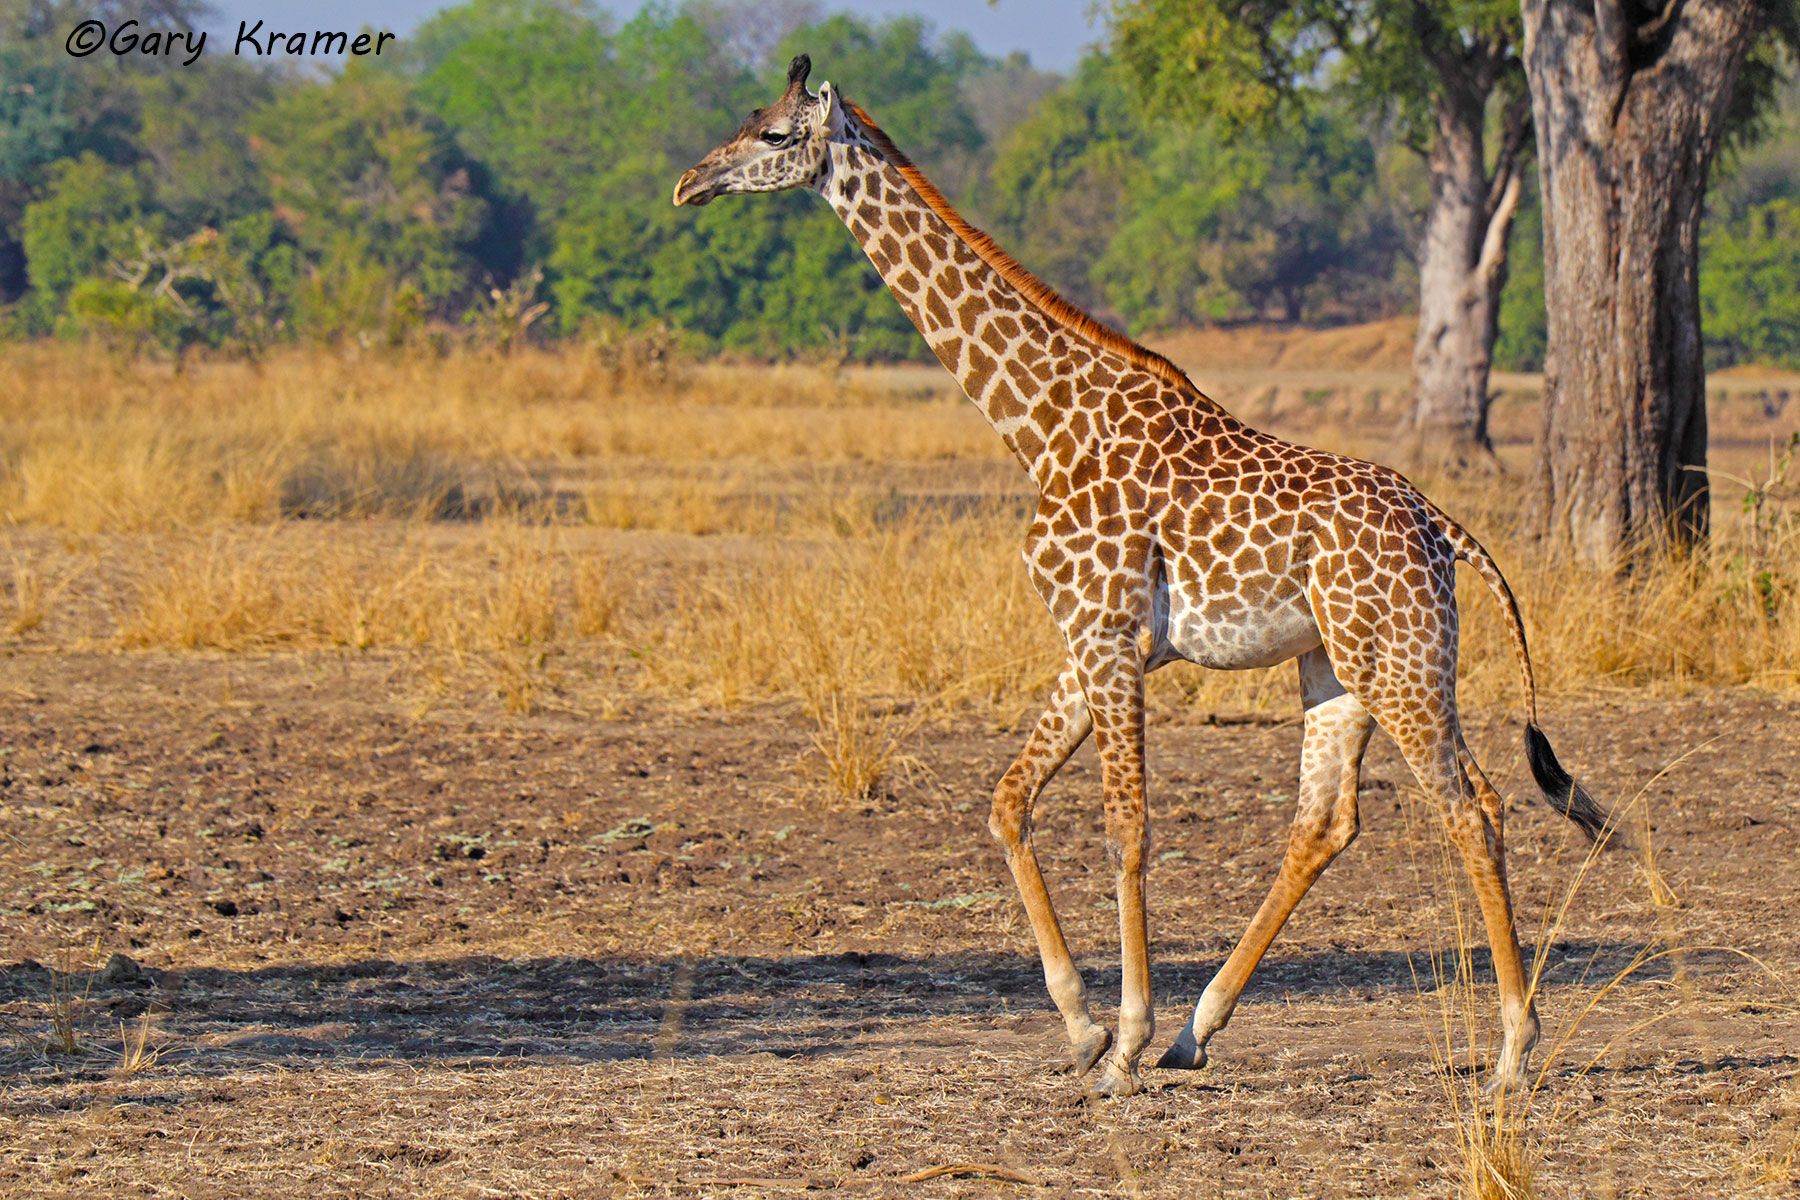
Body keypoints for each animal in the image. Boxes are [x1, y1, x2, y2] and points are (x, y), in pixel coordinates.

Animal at [674, 55, 1608, 1099]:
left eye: (774, 134)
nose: (690, 183)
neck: (1039, 426)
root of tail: (1445, 531)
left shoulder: (1108, 634)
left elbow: (1129, 827)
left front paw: (1120, 1040)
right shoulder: (1091, 640)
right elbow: (1007, 800)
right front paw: (1084, 1027)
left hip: (1399, 662)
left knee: (1471, 807)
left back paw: (1512, 1051)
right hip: (1337, 666)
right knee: (1325, 821)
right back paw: (1199, 1030)